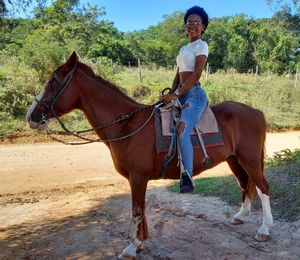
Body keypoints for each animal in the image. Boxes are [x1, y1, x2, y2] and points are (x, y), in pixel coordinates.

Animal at [27, 51, 274, 258]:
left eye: (52, 83)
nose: (31, 116)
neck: (127, 125)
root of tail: (256, 111)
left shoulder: (137, 178)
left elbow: (136, 211)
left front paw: (132, 247)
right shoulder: (139, 179)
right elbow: (142, 210)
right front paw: (140, 242)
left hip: (250, 159)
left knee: (262, 187)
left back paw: (264, 229)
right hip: (235, 160)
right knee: (245, 184)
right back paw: (240, 216)